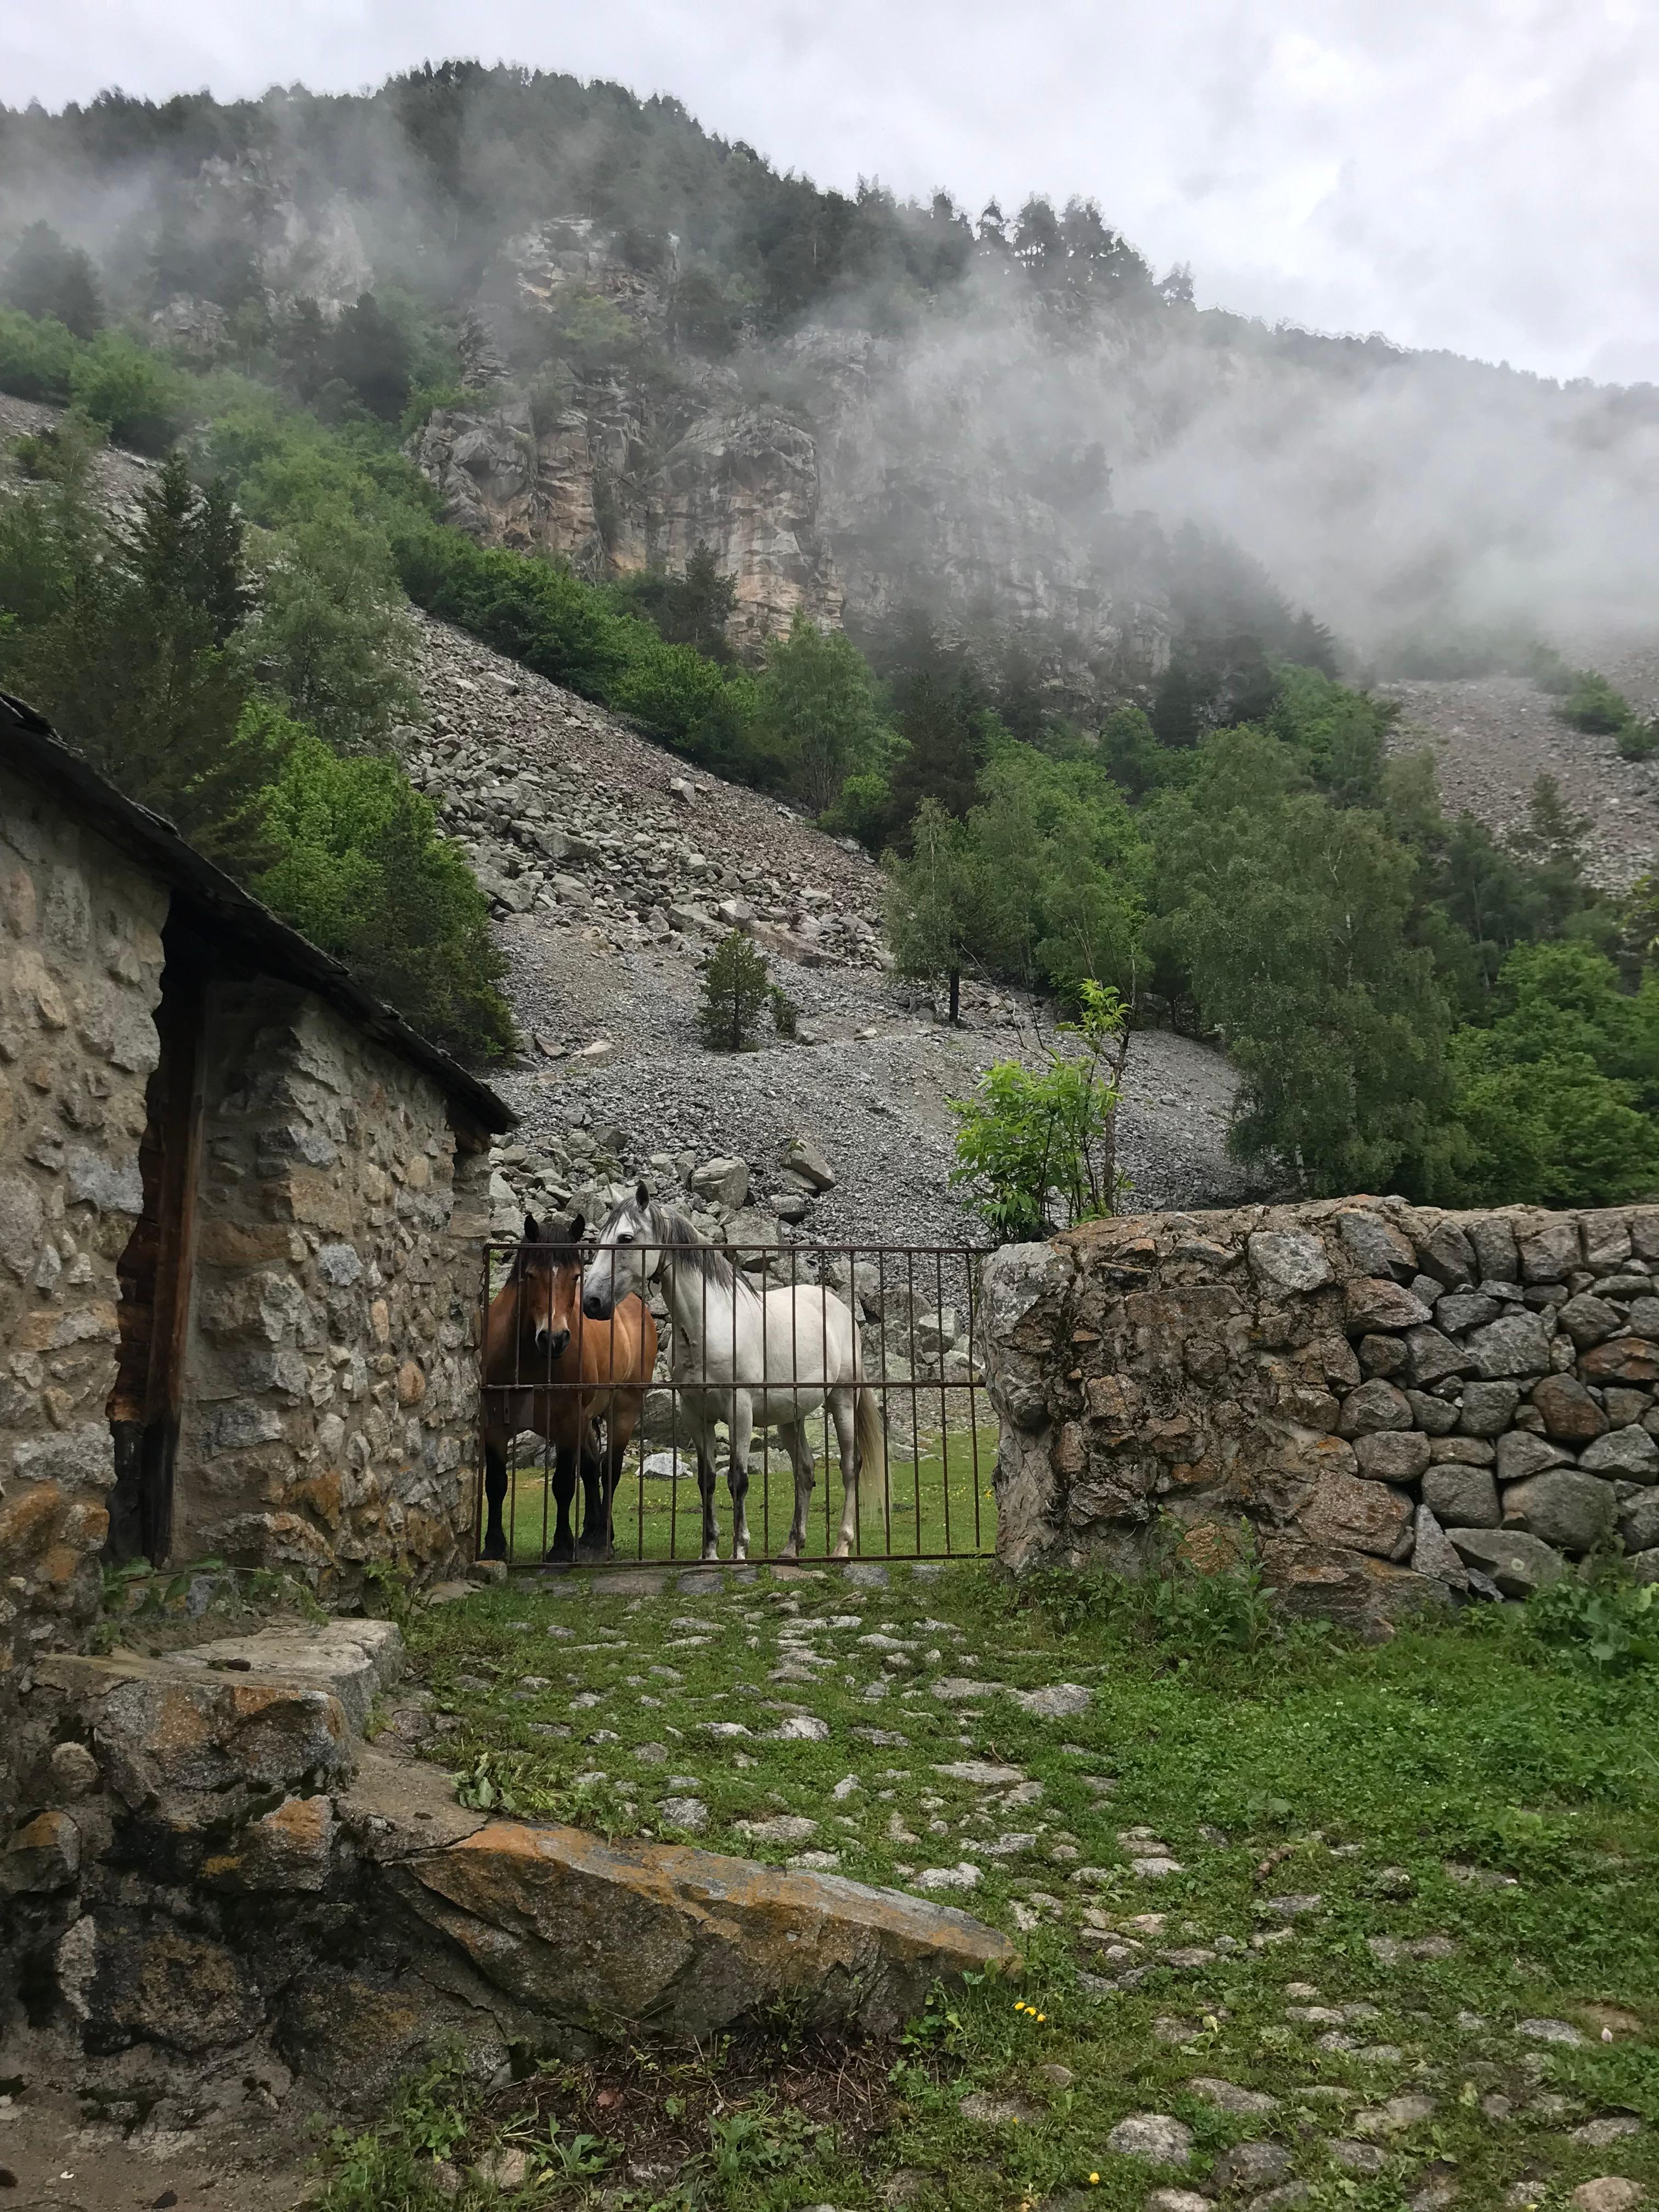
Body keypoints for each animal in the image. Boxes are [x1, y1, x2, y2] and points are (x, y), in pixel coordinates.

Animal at [481, 1211, 658, 1564]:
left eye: (576, 1276)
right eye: (530, 1275)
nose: (555, 1339)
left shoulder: (567, 1422)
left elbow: (563, 1484)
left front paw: (561, 1547)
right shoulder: (494, 1424)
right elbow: (496, 1483)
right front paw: (493, 1546)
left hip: (623, 1409)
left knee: (609, 1469)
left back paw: (601, 1538)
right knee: (591, 1469)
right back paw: (590, 1535)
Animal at [580, 1185, 884, 1563]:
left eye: (625, 1238)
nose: (591, 1302)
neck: (708, 1326)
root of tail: (840, 1309)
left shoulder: (740, 1411)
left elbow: (737, 1480)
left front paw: (740, 1551)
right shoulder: (696, 1415)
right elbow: (707, 1480)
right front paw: (709, 1553)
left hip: (842, 1400)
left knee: (849, 1467)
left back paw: (842, 1545)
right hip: (791, 1417)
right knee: (805, 1471)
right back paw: (791, 1547)